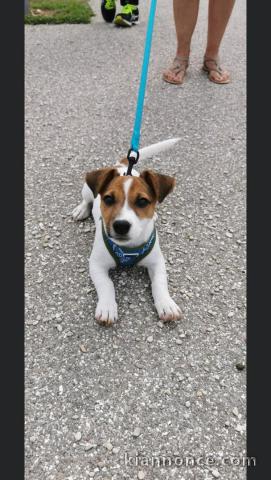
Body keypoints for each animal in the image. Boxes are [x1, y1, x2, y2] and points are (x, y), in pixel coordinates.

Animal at [72, 140, 183, 326]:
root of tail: (122, 165)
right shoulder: (96, 265)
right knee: (86, 199)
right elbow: (106, 284)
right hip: (87, 191)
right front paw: (107, 307)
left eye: (142, 201)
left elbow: (160, 283)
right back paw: (81, 209)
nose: (121, 226)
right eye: (108, 199)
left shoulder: (157, 262)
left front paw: (166, 304)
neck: (128, 248)